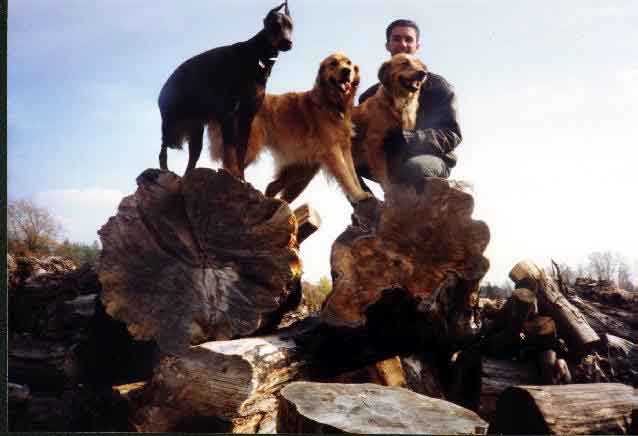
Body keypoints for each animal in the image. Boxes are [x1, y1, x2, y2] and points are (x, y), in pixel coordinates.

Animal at [159, 2, 294, 177]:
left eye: (290, 26)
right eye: (275, 25)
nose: (288, 43)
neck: (256, 57)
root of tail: (163, 89)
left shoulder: (247, 116)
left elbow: (241, 150)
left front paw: (242, 177)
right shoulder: (227, 114)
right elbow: (229, 149)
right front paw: (231, 172)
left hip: (196, 128)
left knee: (193, 156)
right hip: (169, 123)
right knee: (162, 151)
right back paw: (164, 171)